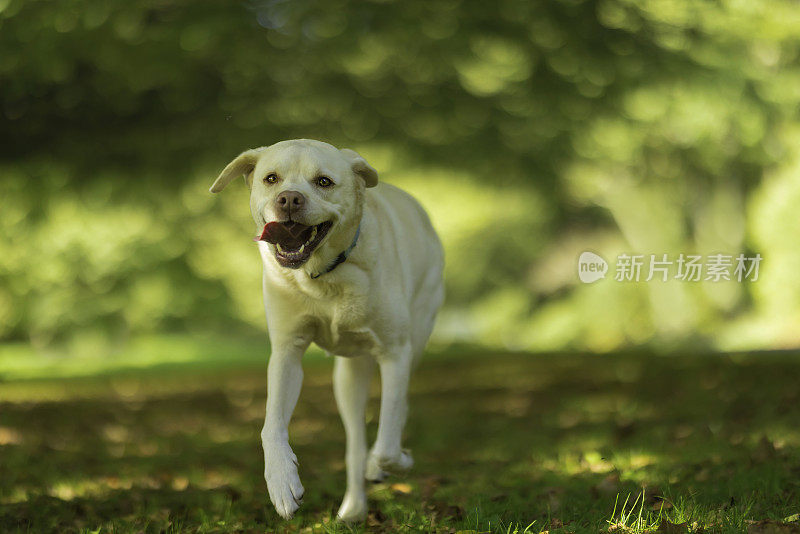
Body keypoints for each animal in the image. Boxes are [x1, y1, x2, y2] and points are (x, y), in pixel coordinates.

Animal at [209, 138, 444, 524]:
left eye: (324, 182)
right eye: (271, 178)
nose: (289, 199)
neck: (324, 276)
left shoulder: (395, 353)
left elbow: (389, 441)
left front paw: (396, 462)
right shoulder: (286, 352)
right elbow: (271, 424)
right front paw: (281, 482)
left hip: (417, 332)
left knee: (395, 415)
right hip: (347, 379)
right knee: (355, 440)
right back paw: (353, 507)